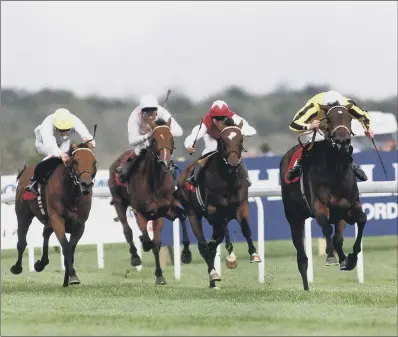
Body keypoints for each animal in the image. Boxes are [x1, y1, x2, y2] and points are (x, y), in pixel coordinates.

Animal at [9, 142, 97, 286]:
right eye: (75, 162)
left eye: (94, 162)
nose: (86, 184)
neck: (71, 196)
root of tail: (25, 171)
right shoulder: (57, 219)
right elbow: (66, 247)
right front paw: (72, 276)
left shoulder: (80, 225)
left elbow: (71, 249)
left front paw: (69, 278)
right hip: (23, 214)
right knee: (22, 241)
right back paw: (17, 267)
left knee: (45, 233)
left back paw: (41, 263)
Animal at [108, 118, 190, 284]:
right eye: (154, 140)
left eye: (171, 139)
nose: (165, 163)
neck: (154, 182)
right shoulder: (140, 212)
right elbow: (147, 239)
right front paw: (144, 245)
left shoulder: (163, 211)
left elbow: (157, 242)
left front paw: (161, 274)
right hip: (119, 202)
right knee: (127, 229)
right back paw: (135, 256)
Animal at [176, 117, 260, 288]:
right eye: (222, 141)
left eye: (241, 140)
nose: (233, 164)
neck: (228, 181)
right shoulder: (214, 210)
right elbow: (219, 234)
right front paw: (230, 258)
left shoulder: (241, 206)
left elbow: (245, 229)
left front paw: (254, 254)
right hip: (193, 213)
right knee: (202, 244)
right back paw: (213, 273)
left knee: (213, 242)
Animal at [280, 103, 366, 290]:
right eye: (329, 119)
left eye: (349, 118)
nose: (342, 141)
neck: (336, 173)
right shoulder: (320, 207)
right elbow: (327, 229)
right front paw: (331, 257)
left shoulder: (349, 207)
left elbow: (359, 221)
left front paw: (350, 259)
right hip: (294, 217)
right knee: (301, 255)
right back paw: (306, 287)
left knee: (338, 238)